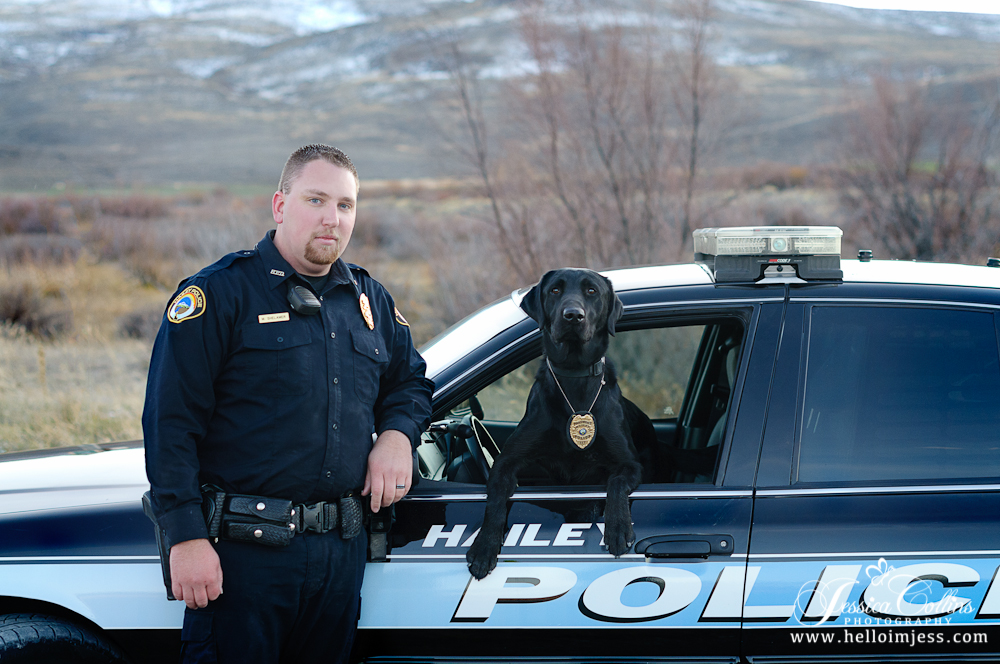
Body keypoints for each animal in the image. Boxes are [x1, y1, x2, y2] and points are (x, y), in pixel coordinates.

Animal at [466, 268, 656, 580]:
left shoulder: (629, 464)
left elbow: (615, 483)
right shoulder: (506, 461)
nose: (573, 316)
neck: (574, 376)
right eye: (555, 290)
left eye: (592, 291)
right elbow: (495, 498)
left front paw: (617, 528)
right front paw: (484, 547)